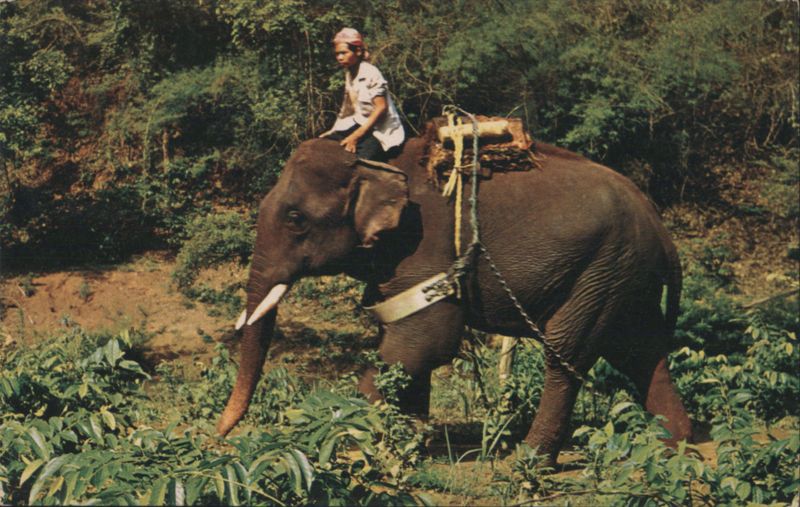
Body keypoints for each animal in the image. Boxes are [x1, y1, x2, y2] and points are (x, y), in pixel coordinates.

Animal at [217, 129, 693, 466]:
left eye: (296, 218)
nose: (219, 436)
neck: (378, 163)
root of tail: (661, 229)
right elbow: (405, 338)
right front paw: (409, 441)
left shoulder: (425, 244)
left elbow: (426, 340)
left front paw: (354, 436)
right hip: (625, 278)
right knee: (640, 352)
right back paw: (675, 447)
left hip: (603, 269)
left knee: (566, 356)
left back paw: (530, 461)